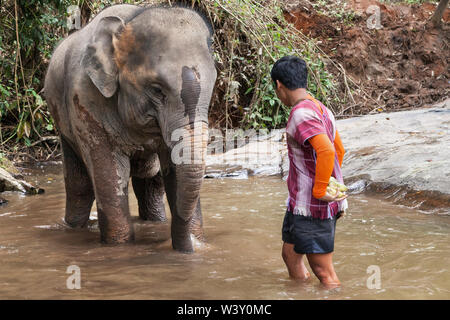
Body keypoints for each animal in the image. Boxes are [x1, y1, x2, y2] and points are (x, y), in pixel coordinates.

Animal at [44, 3, 218, 252]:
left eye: (212, 85)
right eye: (157, 90)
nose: (191, 246)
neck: (129, 22)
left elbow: (175, 172)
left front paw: (195, 245)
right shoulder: (85, 100)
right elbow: (108, 177)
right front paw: (120, 248)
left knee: (151, 182)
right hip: (62, 121)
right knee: (79, 186)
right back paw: (73, 227)